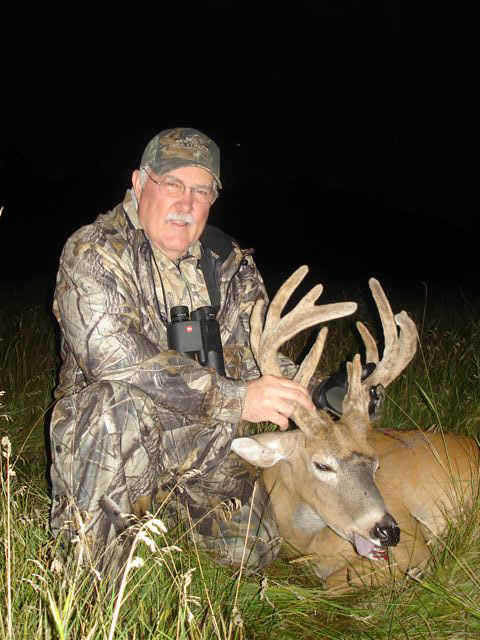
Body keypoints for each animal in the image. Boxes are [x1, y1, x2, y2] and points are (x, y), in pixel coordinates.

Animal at [231, 266, 479, 591]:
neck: (309, 540)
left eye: (376, 465)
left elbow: (333, 582)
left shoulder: (415, 549)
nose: (388, 531)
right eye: (322, 465)